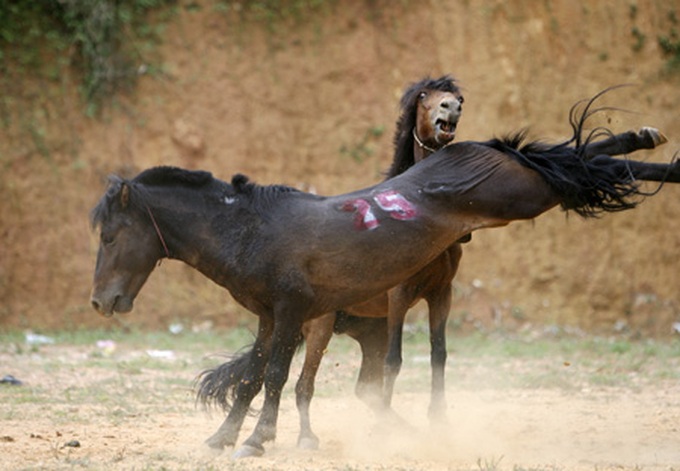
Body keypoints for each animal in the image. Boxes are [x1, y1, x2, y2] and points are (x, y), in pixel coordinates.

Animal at [90, 91, 679, 458]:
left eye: (110, 236)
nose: (100, 302)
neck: (250, 227)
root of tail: (464, 149)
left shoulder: (291, 314)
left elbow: (277, 377)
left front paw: (258, 440)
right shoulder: (268, 318)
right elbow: (254, 377)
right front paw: (223, 437)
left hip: (522, 192)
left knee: (578, 163)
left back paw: (659, 155)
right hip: (521, 182)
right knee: (570, 157)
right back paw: (647, 138)